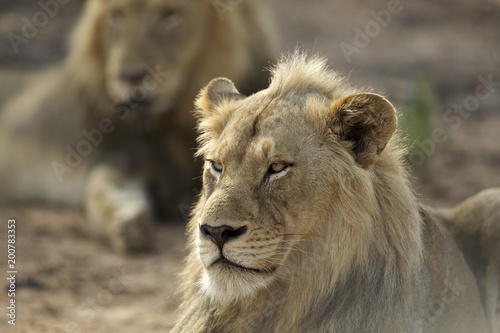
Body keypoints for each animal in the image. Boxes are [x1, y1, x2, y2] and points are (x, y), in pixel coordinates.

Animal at [0, 0, 278, 250]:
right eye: (116, 15)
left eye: (169, 14)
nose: (129, 76)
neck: (173, 123)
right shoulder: (123, 160)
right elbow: (97, 192)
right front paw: (128, 223)